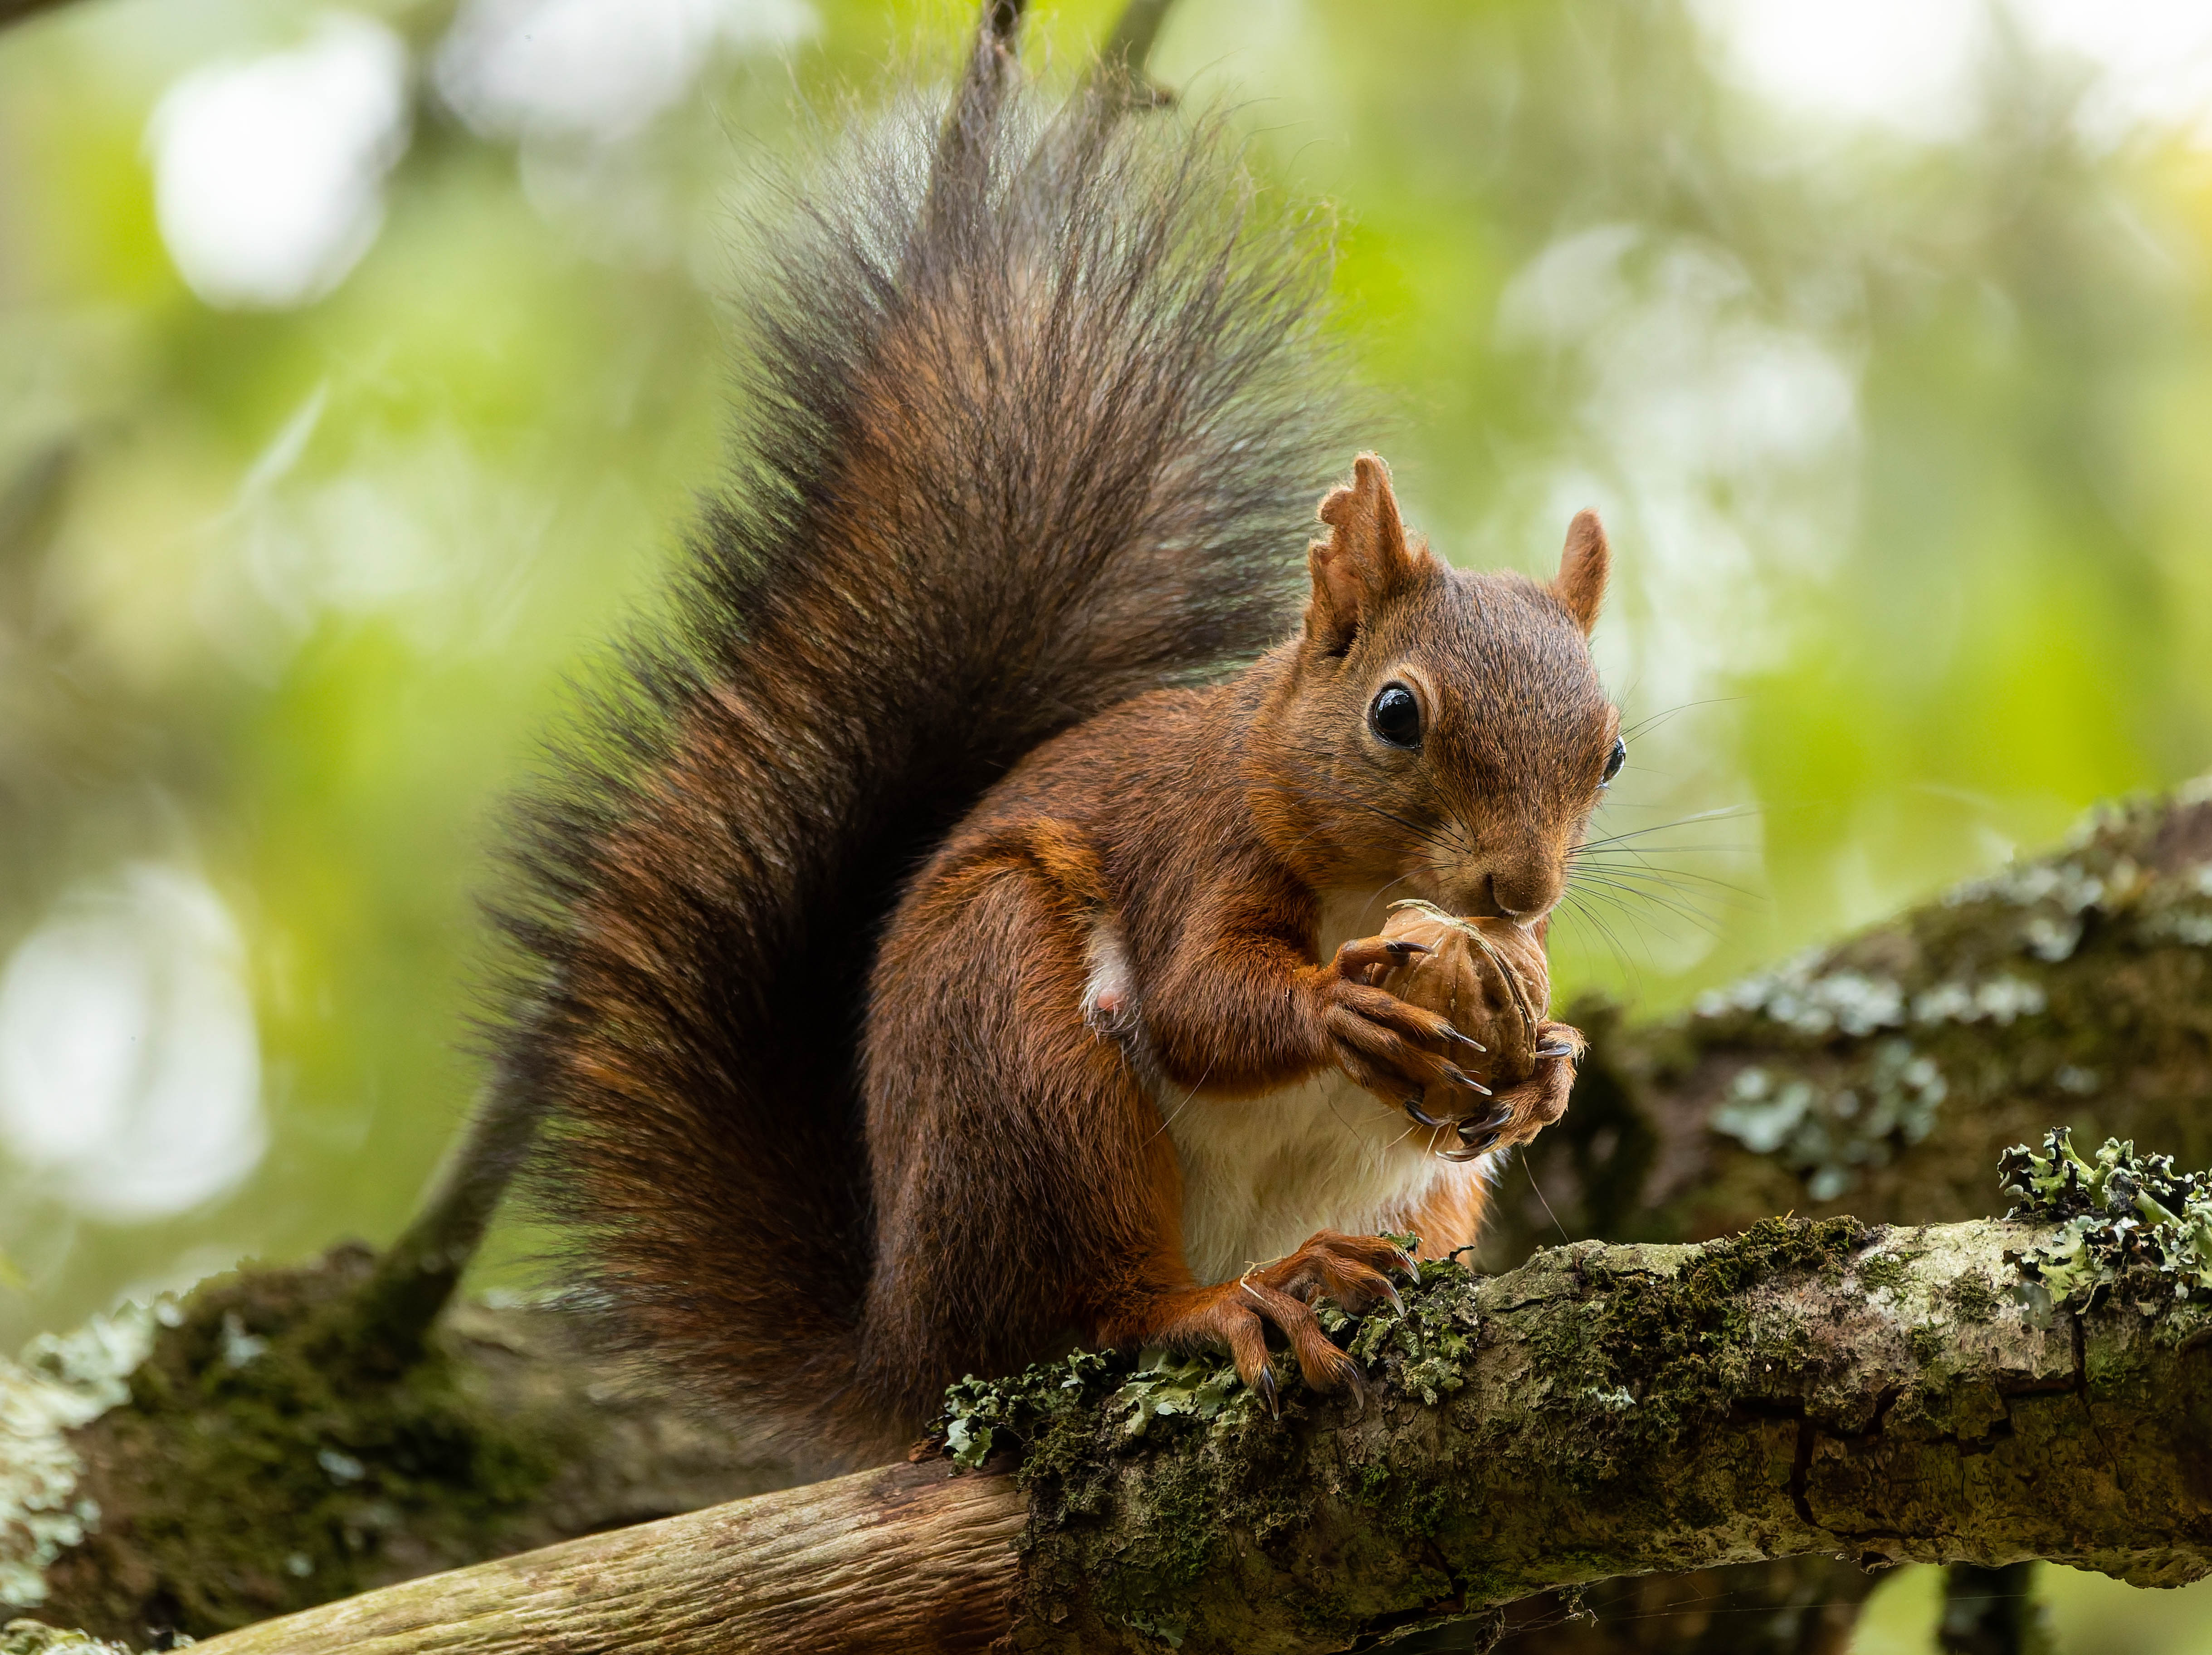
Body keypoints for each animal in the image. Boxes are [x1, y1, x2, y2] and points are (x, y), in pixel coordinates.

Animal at [492, 7, 1620, 1469]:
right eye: (1394, 713)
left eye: (1609, 754)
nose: (1519, 888)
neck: (1369, 882)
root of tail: (899, 1350)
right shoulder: (1198, 845)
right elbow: (1200, 1005)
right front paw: (1344, 1006)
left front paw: (1550, 1068)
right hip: (1013, 1051)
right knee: (1078, 1310)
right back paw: (1231, 1301)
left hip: (1407, 1199)